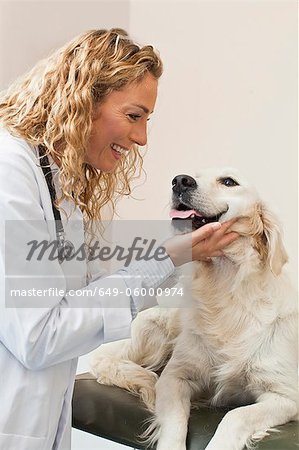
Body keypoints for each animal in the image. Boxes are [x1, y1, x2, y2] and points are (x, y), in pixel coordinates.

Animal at [90, 168, 298, 450]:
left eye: (229, 182)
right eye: (194, 174)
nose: (180, 181)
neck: (225, 287)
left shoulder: (285, 396)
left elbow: (236, 415)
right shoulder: (174, 377)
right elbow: (174, 424)